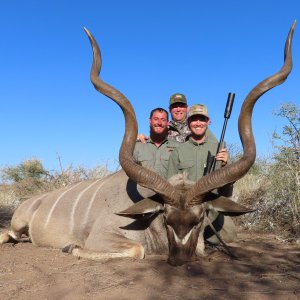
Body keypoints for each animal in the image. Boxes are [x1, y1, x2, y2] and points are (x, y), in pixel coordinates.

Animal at [0, 22, 296, 264]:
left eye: (200, 218)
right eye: (165, 216)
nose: (179, 260)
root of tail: (31, 201)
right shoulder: (104, 236)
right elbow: (136, 249)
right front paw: (71, 247)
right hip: (17, 224)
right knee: (8, 233)